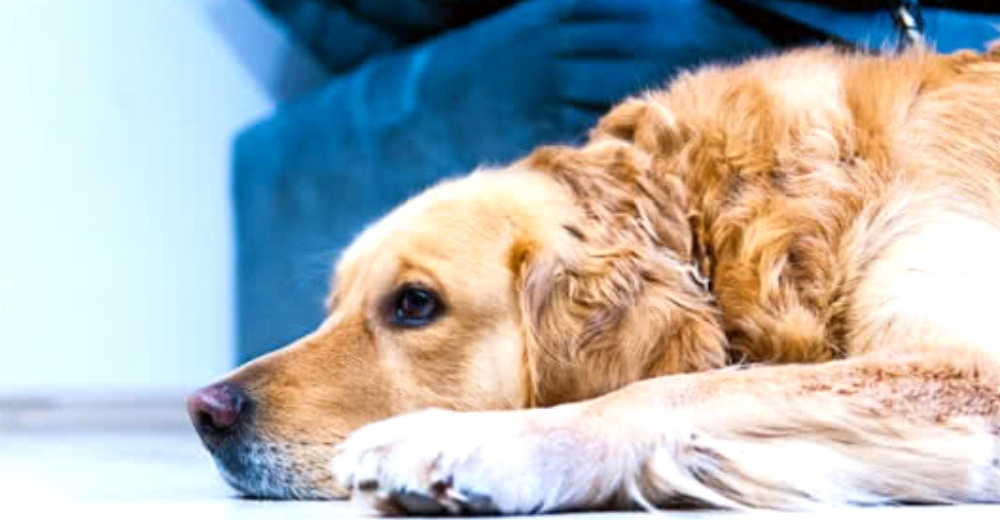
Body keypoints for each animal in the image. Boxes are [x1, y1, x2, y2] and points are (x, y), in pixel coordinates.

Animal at [191, 46, 1000, 512]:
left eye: (414, 304)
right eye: (331, 307)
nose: (205, 412)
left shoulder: (972, 369)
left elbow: (676, 388)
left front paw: (469, 442)